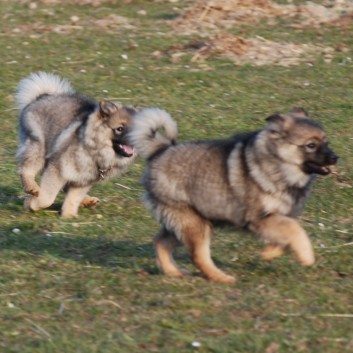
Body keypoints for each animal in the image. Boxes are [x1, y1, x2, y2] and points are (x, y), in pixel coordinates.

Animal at [16, 72, 138, 217]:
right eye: (119, 129)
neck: (95, 150)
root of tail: (41, 97)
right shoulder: (57, 169)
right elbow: (47, 197)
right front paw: (31, 203)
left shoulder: (83, 181)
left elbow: (72, 198)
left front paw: (69, 216)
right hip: (37, 146)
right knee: (26, 169)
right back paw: (32, 187)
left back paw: (87, 200)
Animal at [129, 107, 336, 284]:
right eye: (311, 145)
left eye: (326, 142)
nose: (335, 157)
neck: (279, 164)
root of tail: (160, 150)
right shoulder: (259, 218)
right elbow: (295, 230)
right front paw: (306, 256)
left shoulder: (280, 217)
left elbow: (287, 234)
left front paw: (269, 253)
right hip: (194, 223)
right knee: (198, 256)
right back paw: (221, 278)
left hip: (186, 222)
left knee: (160, 242)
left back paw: (174, 272)